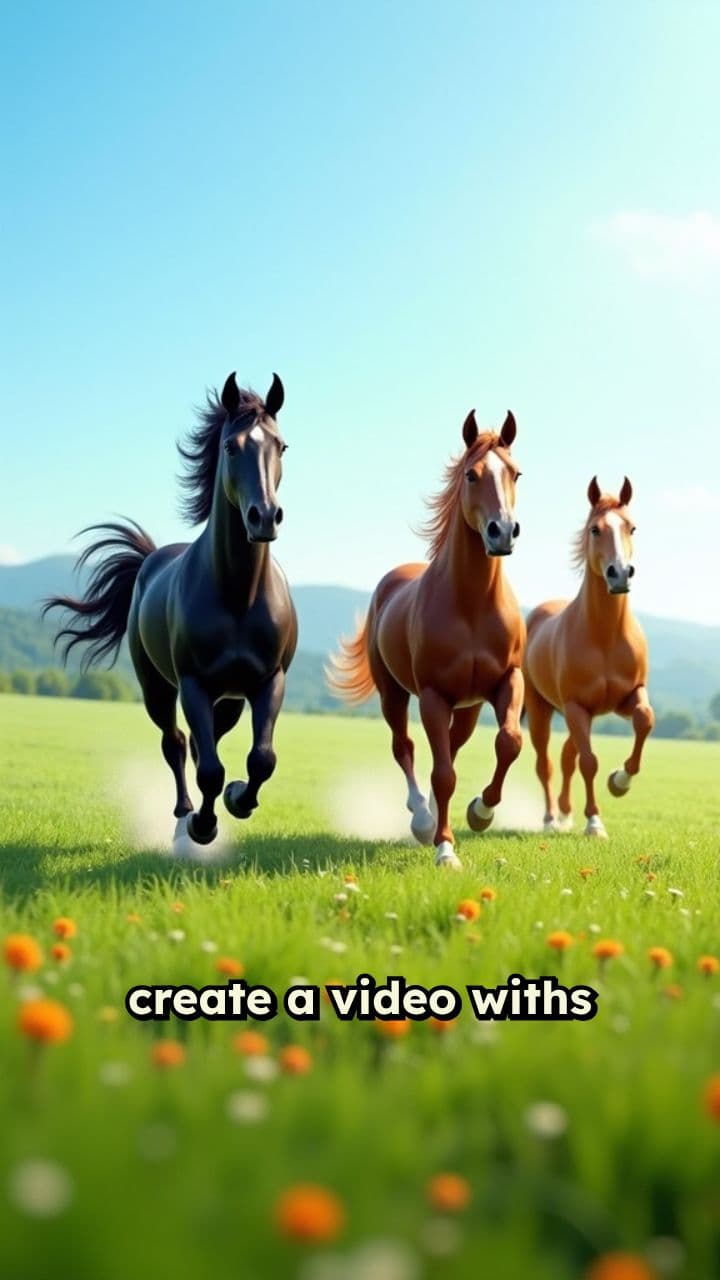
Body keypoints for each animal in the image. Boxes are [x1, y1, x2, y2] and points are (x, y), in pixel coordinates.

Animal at [44, 372, 297, 849]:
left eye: (282, 446)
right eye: (230, 446)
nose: (264, 517)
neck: (238, 595)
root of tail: (150, 559)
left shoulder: (267, 681)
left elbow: (262, 759)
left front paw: (238, 799)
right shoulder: (193, 683)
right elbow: (210, 769)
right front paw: (202, 826)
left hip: (229, 700)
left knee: (203, 744)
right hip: (158, 689)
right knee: (177, 743)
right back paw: (184, 814)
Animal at [328, 408, 525, 869]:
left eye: (516, 473)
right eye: (471, 475)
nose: (502, 531)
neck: (472, 606)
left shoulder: (508, 680)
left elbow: (508, 742)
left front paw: (481, 812)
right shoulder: (433, 696)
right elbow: (443, 772)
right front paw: (444, 848)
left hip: (469, 707)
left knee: (452, 744)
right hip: (394, 695)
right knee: (406, 747)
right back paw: (421, 819)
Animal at [523, 476, 654, 838]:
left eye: (632, 527)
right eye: (596, 529)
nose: (619, 573)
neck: (604, 637)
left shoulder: (627, 697)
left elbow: (645, 719)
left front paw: (620, 781)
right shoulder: (576, 707)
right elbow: (589, 762)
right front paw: (595, 822)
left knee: (566, 757)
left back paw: (566, 813)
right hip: (544, 710)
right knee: (546, 763)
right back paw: (551, 819)